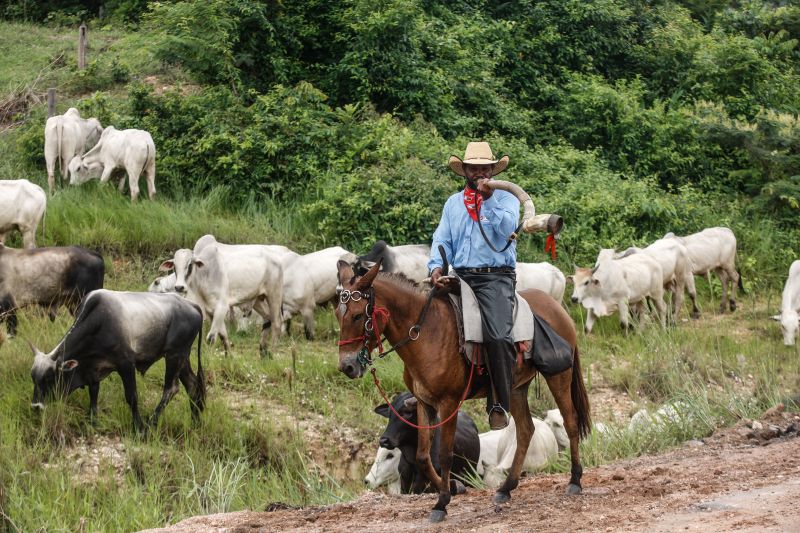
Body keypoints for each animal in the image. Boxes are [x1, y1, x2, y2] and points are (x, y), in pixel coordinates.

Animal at [30, 288, 206, 430]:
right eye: (33, 378)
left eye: (49, 377)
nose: (35, 407)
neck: (98, 322)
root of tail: (192, 305)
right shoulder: (94, 369)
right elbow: (93, 392)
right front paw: (93, 421)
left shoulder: (126, 364)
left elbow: (132, 397)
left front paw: (138, 427)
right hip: (183, 357)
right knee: (192, 385)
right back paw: (195, 423)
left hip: (174, 355)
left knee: (171, 389)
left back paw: (151, 423)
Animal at [334, 260, 592, 520]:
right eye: (338, 314)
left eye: (357, 315)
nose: (347, 366)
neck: (427, 334)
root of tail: (557, 308)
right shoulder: (424, 403)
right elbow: (423, 456)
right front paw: (448, 489)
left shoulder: (448, 403)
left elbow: (445, 454)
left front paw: (442, 503)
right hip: (517, 388)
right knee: (526, 430)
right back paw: (506, 488)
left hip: (559, 376)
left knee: (570, 421)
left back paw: (575, 480)